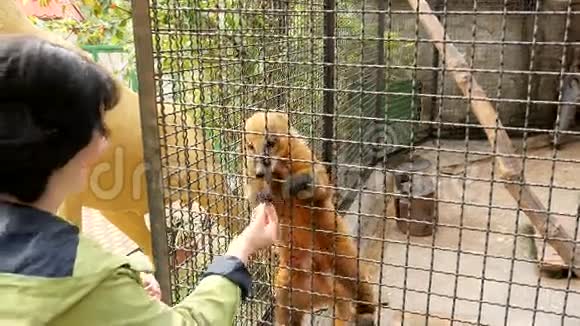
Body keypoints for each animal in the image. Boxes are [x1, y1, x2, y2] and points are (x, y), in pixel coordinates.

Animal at [241, 112, 374, 326]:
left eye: (270, 142)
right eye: (250, 146)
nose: (260, 172)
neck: (279, 167)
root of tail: (323, 289)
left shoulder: (303, 154)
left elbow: (322, 188)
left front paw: (297, 183)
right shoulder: (250, 170)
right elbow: (257, 201)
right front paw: (263, 193)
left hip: (340, 255)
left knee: (354, 276)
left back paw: (366, 313)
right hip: (288, 284)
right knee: (285, 307)